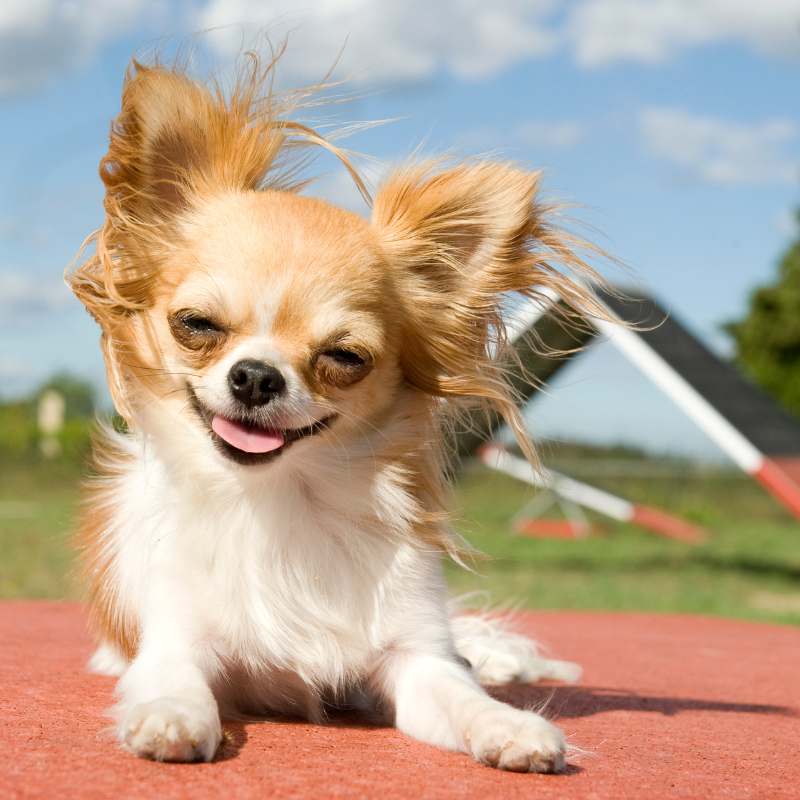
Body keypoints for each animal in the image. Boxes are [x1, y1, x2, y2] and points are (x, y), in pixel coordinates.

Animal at [69, 53, 604, 772]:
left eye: (345, 357)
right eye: (196, 325)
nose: (256, 376)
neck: (282, 501)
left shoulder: (416, 660)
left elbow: (460, 694)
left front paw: (509, 724)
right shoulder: (176, 639)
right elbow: (173, 679)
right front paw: (171, 716)